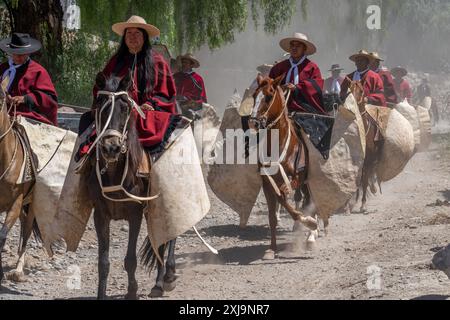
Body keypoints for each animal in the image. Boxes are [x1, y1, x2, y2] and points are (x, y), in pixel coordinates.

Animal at [85, 73, 177, 300]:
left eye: (125, 109)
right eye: (100, 107)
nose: (111, 147)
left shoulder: (134, 214)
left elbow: (130, 260)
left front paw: (132, 292)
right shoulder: (100, 215)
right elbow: (103, 262)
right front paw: (101, 295)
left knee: (169, 237)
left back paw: (165, 278)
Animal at [248, 75, 318, 260]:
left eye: (268, 96)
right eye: (254, 95)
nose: (253, 122)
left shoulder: (296, 179)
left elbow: (288, 199)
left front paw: (310, 223)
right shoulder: (267, 183)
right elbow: (275, 212)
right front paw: (271, 249)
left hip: (308, 181)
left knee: (311, 202)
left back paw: (311, 237)